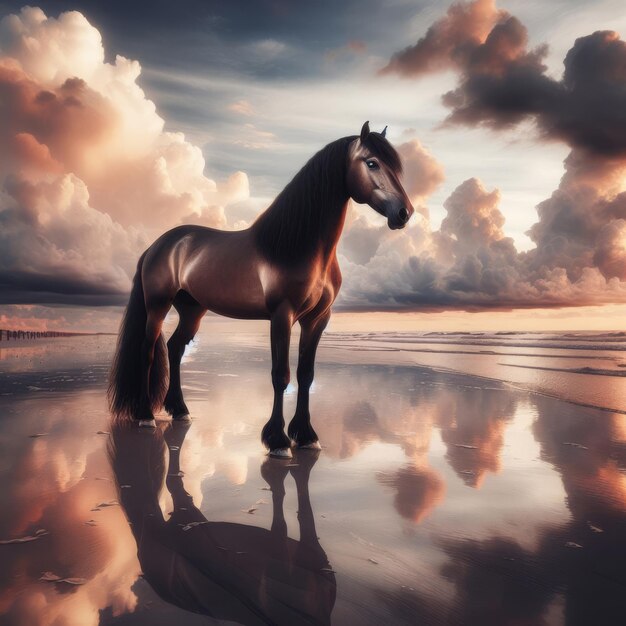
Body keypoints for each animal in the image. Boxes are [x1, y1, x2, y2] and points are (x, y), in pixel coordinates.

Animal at [108, 119, 412, 456]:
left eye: (396, 167)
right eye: (372, 163)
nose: (404, 213)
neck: (298, 247)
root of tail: (158, 244)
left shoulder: (318, 319)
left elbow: (306, 375)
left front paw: (306, 436)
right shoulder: (281, 316)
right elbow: (281, 375)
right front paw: (277, 441)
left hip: (192, 310)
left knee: (174, 348)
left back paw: (181, 410)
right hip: (158, 305)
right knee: (148, 350)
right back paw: (145, 415)